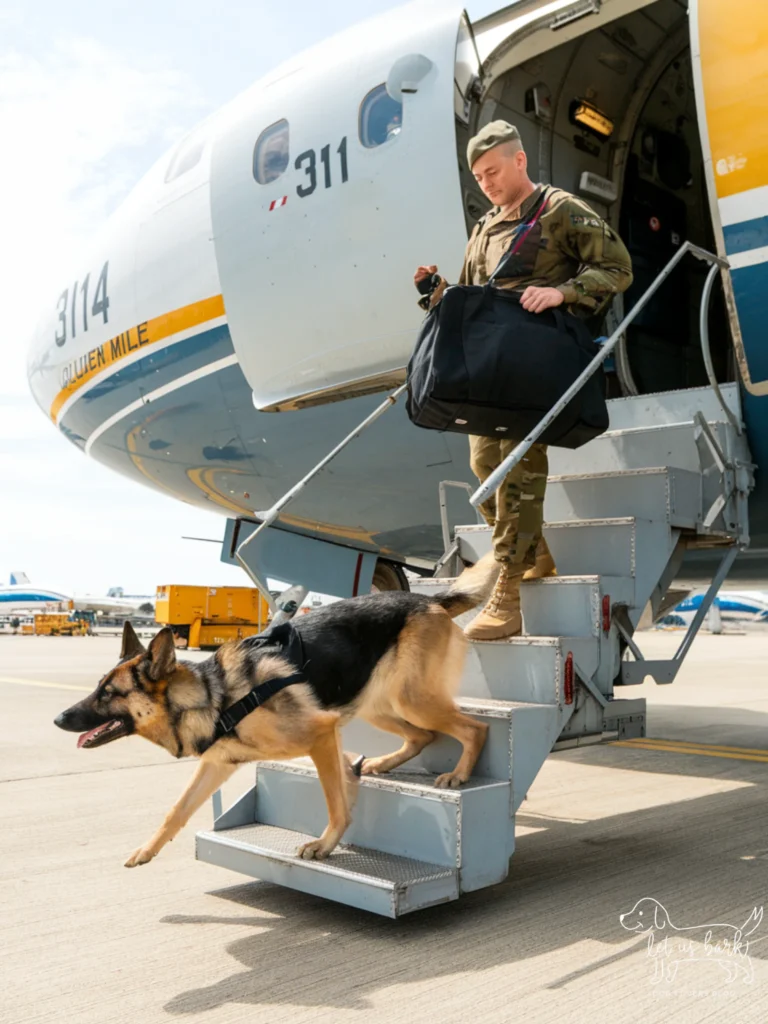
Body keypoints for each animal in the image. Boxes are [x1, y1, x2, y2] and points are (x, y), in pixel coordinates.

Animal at [54, 557, 499, 868]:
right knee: (423, 735)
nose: (58, 719)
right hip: (376, 705)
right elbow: (176, 810)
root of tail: (429, 599)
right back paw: (382, 763)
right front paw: (147, 850)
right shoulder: (219, 765)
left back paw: (459, 773)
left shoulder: (320, 734)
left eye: (109, 693)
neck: (214, 697)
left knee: (474, 728)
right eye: (97, 687)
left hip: (411, 700)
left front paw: (325, 843)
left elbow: (334, 800)